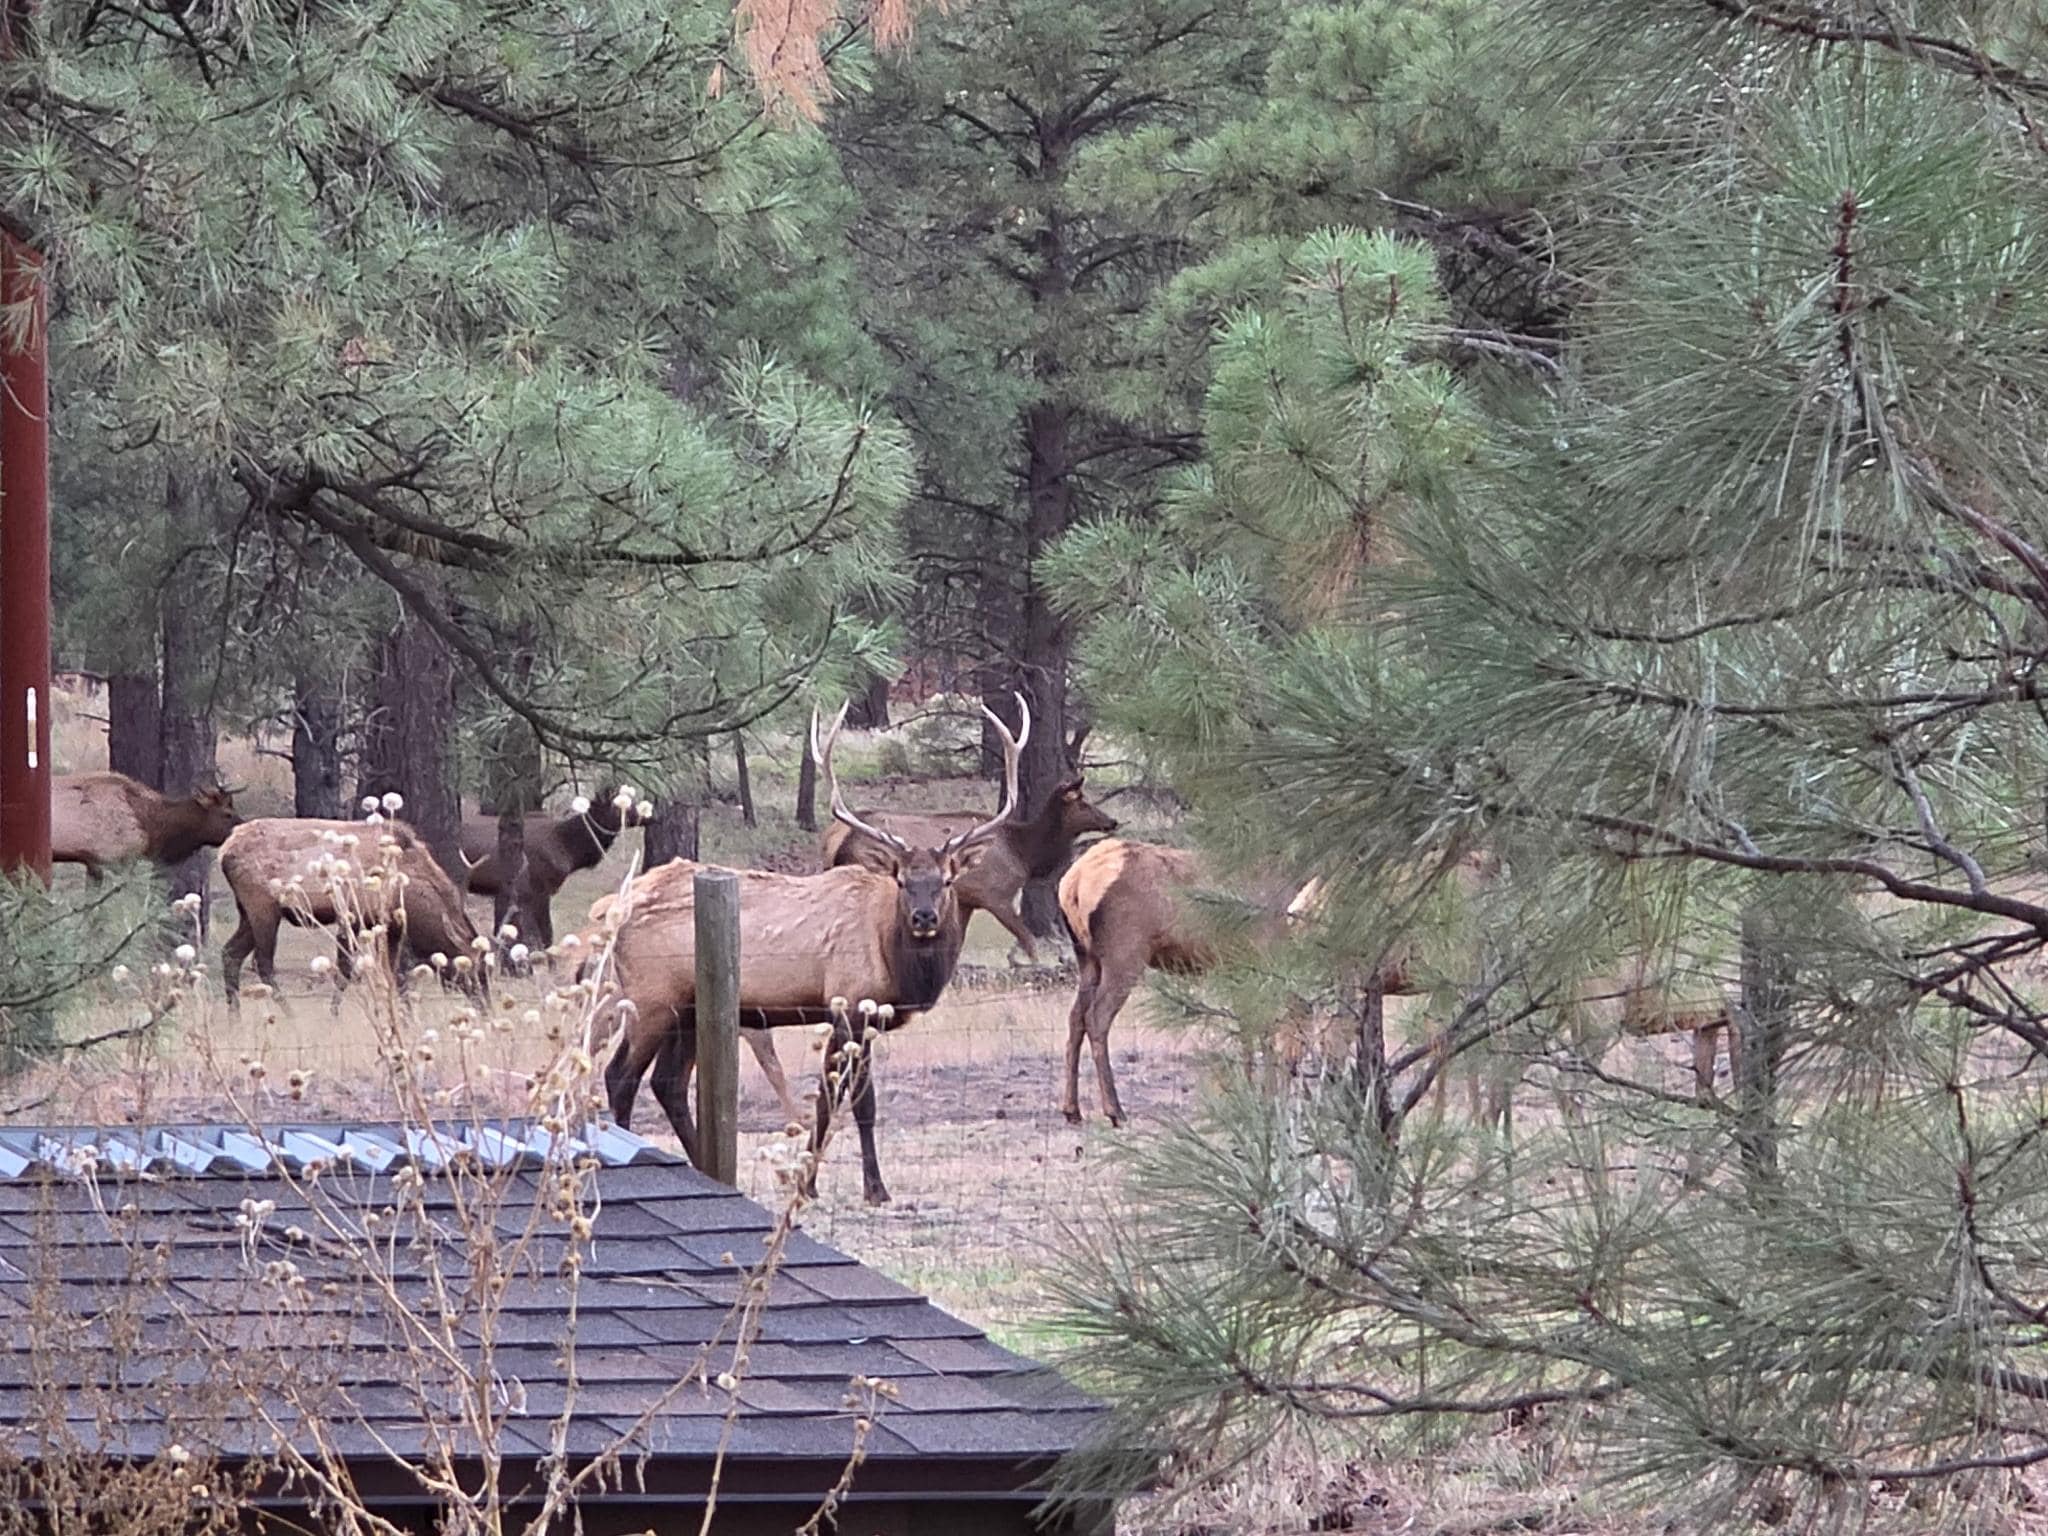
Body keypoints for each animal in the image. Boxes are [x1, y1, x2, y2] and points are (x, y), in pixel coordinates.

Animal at [219, 817, 489, 1012]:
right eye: (471, 969)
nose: (485, 1007)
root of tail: (224, 852)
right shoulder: (351, 918)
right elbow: (345, 973)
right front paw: (333, 1017)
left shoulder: (388, 929)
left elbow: (397, 977)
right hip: (263, 908)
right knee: (263, 963)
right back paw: (289, 1016)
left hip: (247, 912)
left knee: (230, 953)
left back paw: (235, 1018)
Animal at [596, 693, 1028, 1206]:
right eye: (902, 880)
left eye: (946, 881)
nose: (924, 918)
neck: (893, 961)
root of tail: (613, 913)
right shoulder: (850, 1002)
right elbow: (860, 1103)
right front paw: (874, 1188)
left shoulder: (848, 1014)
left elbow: (826, 1099)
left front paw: (809, 1182)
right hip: (651, 997)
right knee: (620, 1078)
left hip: (688, 1010)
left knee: (667, 1083)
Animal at [821, 775, 1118, 962]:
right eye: (1082, 802)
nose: (1111, 821)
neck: (1025, 853)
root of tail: (835, 838)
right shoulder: (996, 895)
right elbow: (1029, 941)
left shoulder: (964, 902)